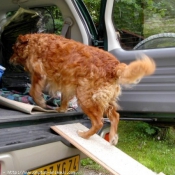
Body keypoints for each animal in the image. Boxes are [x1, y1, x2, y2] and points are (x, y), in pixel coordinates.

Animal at [9, 33, 155, 145]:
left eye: (13, 50)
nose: (9, 60)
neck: (36, 42)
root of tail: (115, 66)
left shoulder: (38, 74)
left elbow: (33, 91)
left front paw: (40, 102)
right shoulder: (66, 84)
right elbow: (64, 99)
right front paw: (61, 109)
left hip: (86, 98)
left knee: (99, 123)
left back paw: (84, 135)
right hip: (104, 99)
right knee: (115, 116)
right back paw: (113, 137)